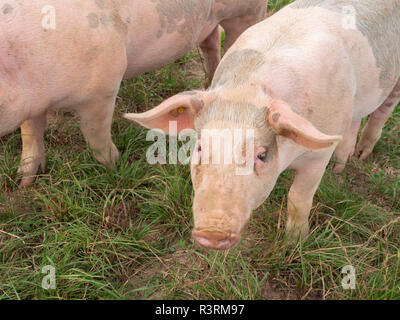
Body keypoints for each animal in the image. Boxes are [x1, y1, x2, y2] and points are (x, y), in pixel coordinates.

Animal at [0, 0, 268, 186]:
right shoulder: (34, 103)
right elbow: (30, 132)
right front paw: (25, 181)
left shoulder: (103, 87)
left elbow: (94, 135)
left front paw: (114, 166)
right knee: (210, 43)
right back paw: (208, 83)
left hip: (248, 10)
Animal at [123, 0, 398, 250]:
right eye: (199, 148)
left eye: (262, 155)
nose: (212, 233)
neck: (247, 90)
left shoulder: (318, 156)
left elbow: (298, 199)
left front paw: (294, 244)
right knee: (357, 118)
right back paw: (342, 165)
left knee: (382, 111)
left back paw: (361, 155)